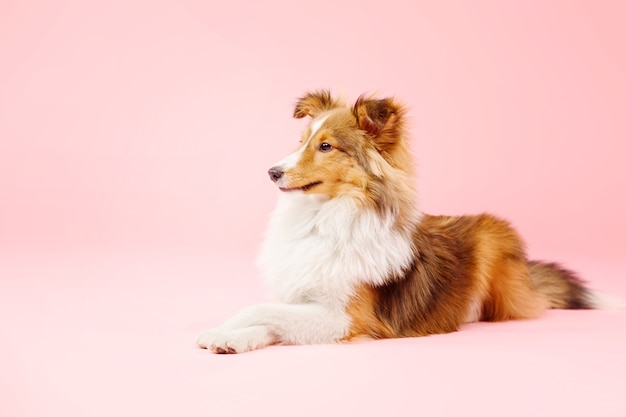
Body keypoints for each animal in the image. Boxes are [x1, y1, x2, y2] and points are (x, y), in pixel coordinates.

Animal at [195, 89, 596, 352]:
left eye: (326, 146)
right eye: (301, 140)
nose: (272, 172)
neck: (323, 219)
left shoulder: (347, 318)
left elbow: (261, 309)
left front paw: (221, 330)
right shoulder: (302, 300)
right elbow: (270, 318)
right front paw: (229, 335)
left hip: (494, 239)